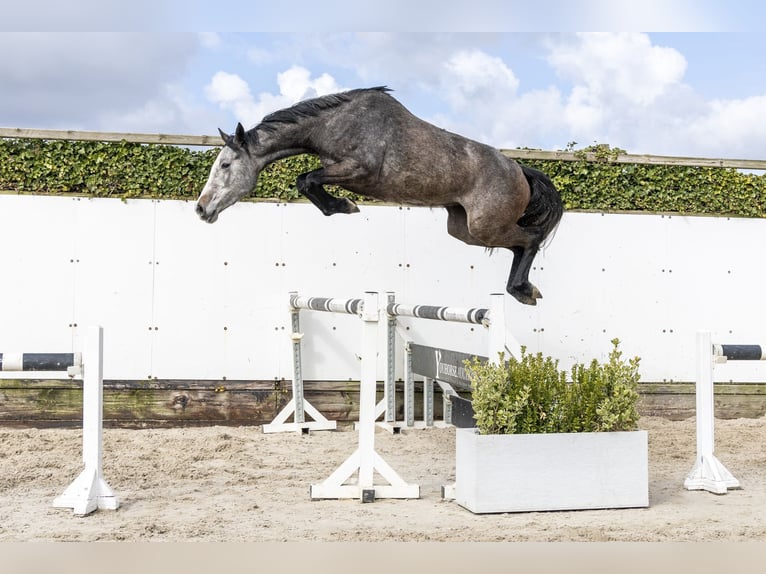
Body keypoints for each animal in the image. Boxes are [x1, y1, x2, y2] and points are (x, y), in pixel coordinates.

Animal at [196, 86, 562, 305]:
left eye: (226, 164)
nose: (201, 209)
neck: (332, 124)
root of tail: (520, 170)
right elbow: (307, 182)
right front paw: (342, 207)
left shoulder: (359, 171)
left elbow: (306, 180)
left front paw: (344, 206)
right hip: (465, 230)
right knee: (518, 244)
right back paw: (522, 289)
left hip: (485, 226)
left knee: (531, 238)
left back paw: (523, 290)